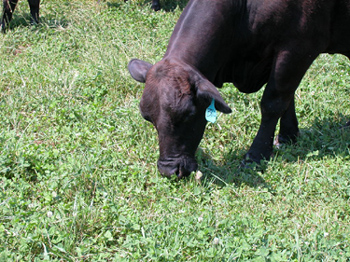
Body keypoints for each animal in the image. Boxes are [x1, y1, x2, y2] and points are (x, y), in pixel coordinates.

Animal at [128, 0, 350, 178]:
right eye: (148, 117)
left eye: (189, 114)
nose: (169, 170)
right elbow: (288, 98)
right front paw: (288, 136)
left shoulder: (297, 49)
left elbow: (274, 102)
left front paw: (256, 154)